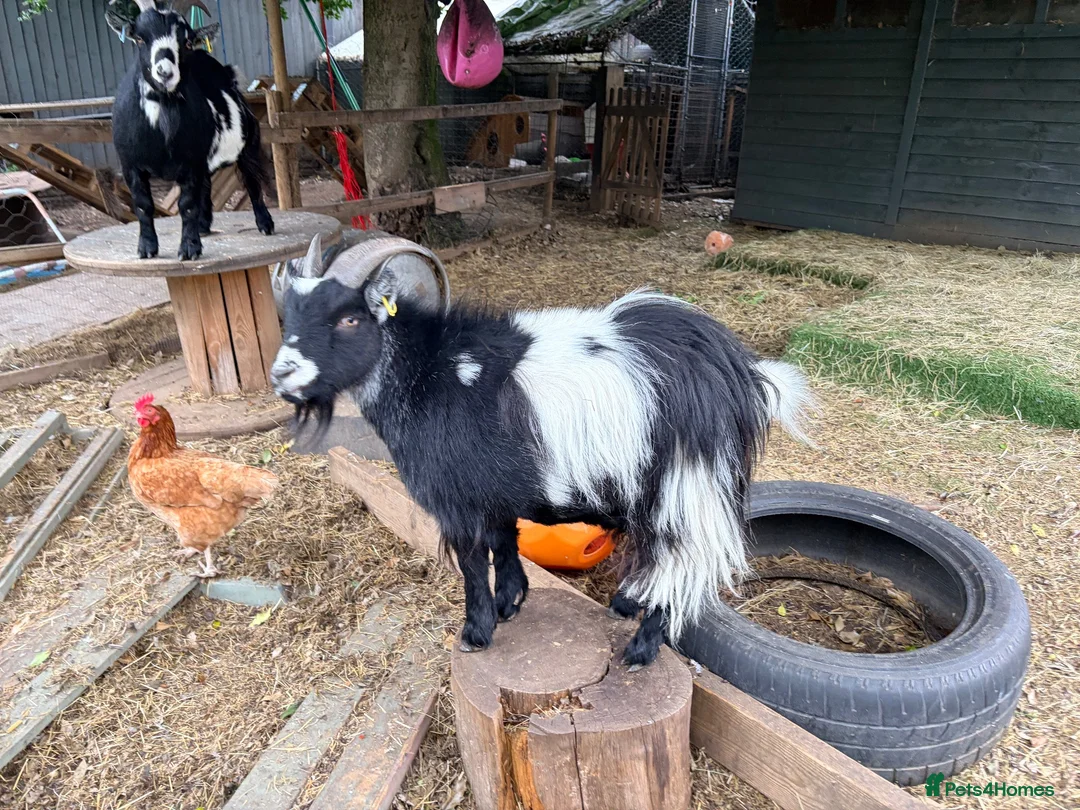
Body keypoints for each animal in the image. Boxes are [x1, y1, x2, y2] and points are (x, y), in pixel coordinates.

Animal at [108, 0, 273, 260]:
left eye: (185, 41)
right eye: (140, 38)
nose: (165, 73)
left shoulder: (191, 163)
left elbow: (186, 205)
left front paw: (189, 248)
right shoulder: (130, 165)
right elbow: (143, 205)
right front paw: (147, 248)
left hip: (248, 145)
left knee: (252, 181)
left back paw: (265, 224)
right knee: (206, 185)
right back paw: (204, 225)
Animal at [271, 235, 813, 668]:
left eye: (349, 317)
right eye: (287, 316)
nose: (282, 375)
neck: (431, 373)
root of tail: (741, 374)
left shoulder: (457, 500)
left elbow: (473, 563)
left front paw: (477, 631)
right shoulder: (494, 489)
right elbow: (506, 541)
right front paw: (511, 603)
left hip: (684, 486)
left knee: (682, 563)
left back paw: (638, 651)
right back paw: (626, 606)